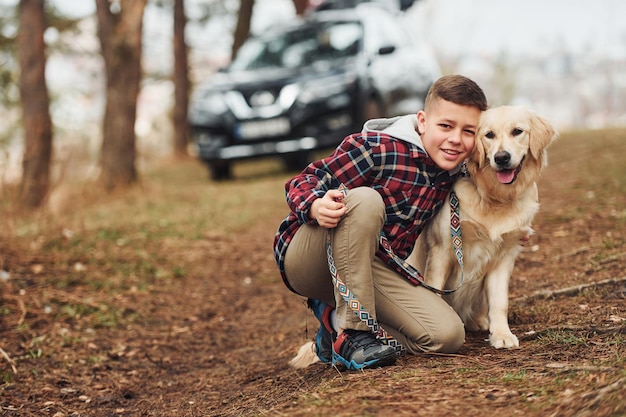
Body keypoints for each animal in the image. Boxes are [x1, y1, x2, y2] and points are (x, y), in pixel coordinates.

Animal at [408, 104, 560, 348]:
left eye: (517, 131)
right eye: (489, 135)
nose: (501, 157)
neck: (496, 198)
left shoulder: (505, 254)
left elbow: (500, 303)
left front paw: (502, 335)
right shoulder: (442, 248)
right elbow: (435, 289)